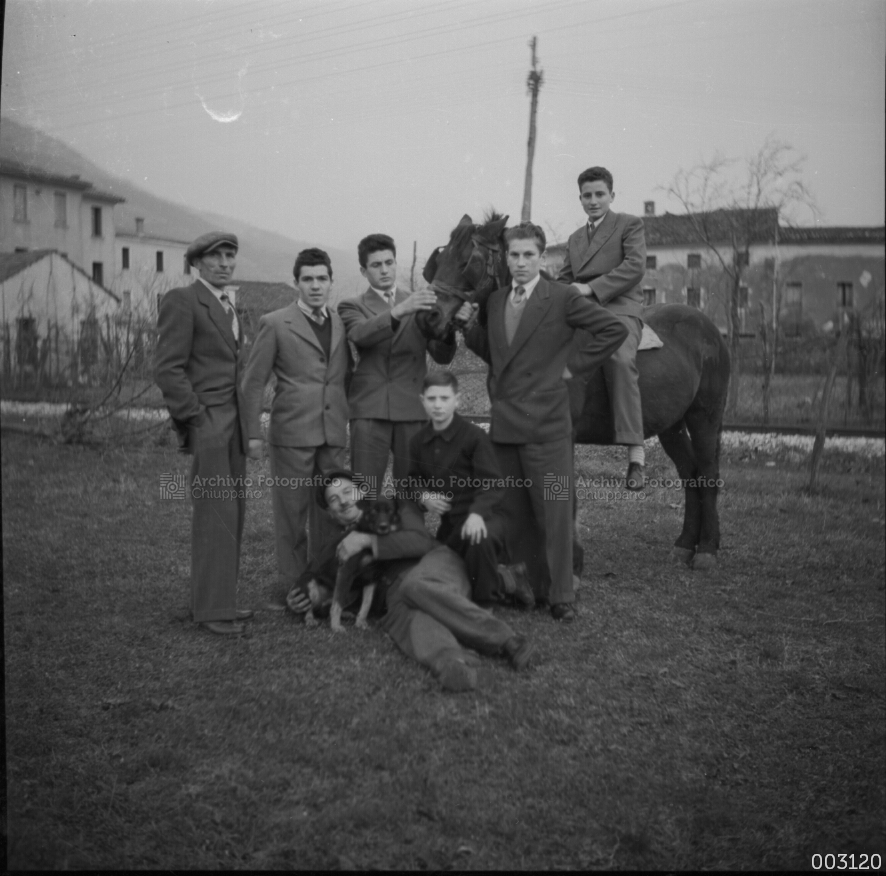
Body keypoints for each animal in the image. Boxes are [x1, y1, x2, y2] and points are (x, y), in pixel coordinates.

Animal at [420, 216, 732, 572]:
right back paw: (684, 545)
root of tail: (710, 330)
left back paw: (706, 548)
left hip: (705, 417)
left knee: (707, 472)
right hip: (672, 426)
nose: (428, 318)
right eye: (438, 261)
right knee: (689, 473)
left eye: (468, 262)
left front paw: (568, 558)